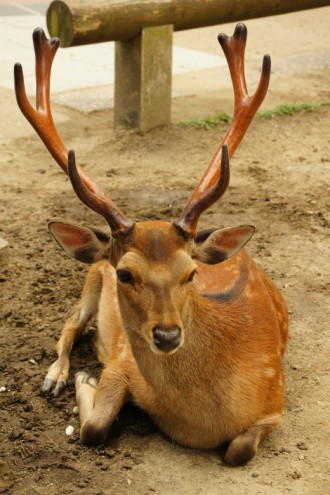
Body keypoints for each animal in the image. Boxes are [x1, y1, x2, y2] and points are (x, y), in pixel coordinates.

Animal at [14, 23, 288, 464]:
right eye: (125, 274)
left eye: (192, 273)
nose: (167, 336)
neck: (201, 422)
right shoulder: (123, 362)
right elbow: (92, 428)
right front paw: (85, 379)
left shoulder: (275, 402)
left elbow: (239, 451)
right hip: (91, 276)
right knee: (70, 325)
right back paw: (56, 376)